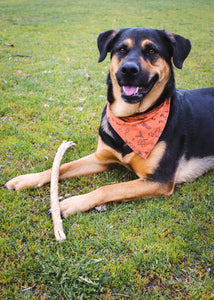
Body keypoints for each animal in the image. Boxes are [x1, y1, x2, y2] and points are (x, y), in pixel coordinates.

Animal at [4, 28, 214, 217]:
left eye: (151, 50)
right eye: (121, 49)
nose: (128, 69)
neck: (131, 117)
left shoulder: (159, 180)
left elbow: (108, 188)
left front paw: (70, 203)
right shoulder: (100, 158)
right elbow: (61, 168)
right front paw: (28, 179)